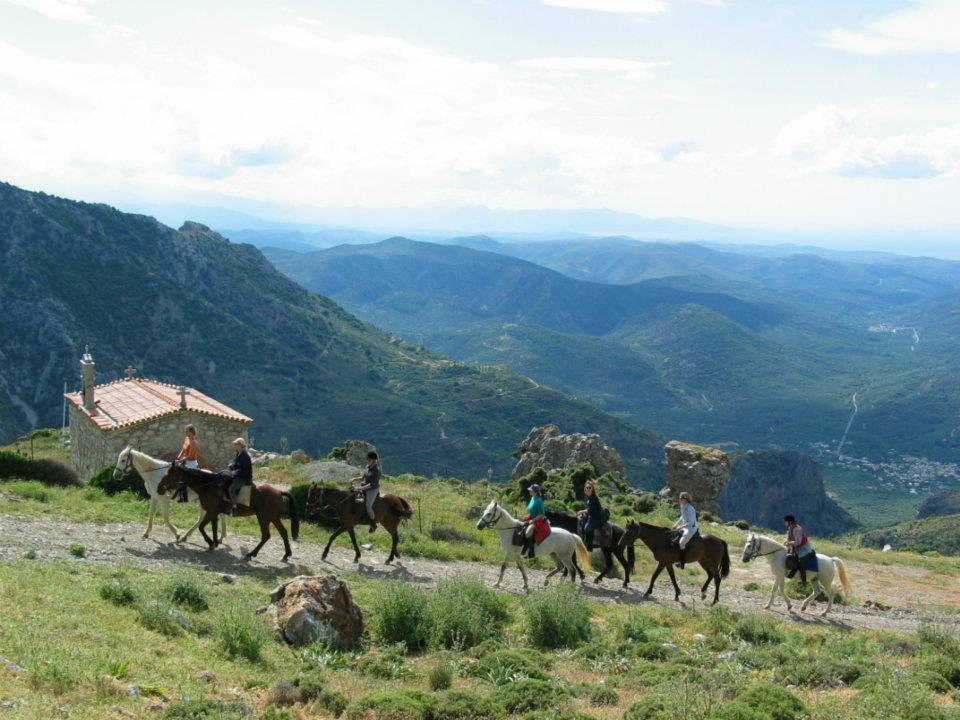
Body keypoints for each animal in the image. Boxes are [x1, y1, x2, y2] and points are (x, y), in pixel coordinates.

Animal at [159, 462, 298, 564]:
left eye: (170, 474)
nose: (159, 488)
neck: (209, 486)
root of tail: (279, 492)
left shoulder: (211, 512)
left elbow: (202, 527)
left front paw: (211, 543)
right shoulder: (214, 513)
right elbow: (214, 528)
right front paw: (214, 543)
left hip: (264, 518)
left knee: (266, 536)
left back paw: (251, 554)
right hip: (273, 518)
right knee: (283, 532)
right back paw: (286, 555)